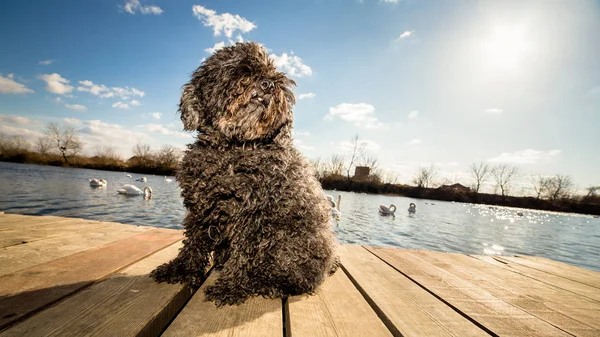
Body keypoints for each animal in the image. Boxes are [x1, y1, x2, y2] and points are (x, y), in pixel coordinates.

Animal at [149, 41, 338, 304]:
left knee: (293, 280)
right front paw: (180, 270)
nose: (268, 84)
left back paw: (264, 284)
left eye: (272, 75)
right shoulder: (201, 207)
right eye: (237, 70)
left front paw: (232, 287)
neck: (232, 149)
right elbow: (193, 243)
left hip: (285, 246)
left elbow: (243, 254)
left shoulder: (251, 217)